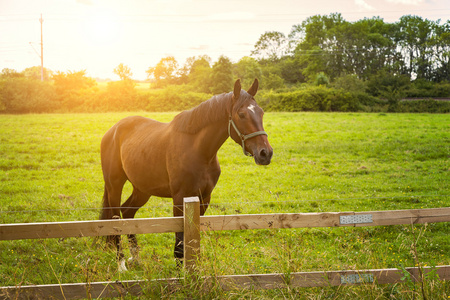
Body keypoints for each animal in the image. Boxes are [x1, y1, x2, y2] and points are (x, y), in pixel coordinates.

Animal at [100, 78, 272, 270]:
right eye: (241, 114)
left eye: (261, 112)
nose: (265, 153)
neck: (199, 151)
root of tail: (113, 131)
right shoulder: (179, 198)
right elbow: (179, 243)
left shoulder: (204, 199)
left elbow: (192, 239)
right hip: (114, 185)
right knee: (114, 220)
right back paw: (121, 264)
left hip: (142, 189)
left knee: (127, 213)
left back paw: (136, 258)